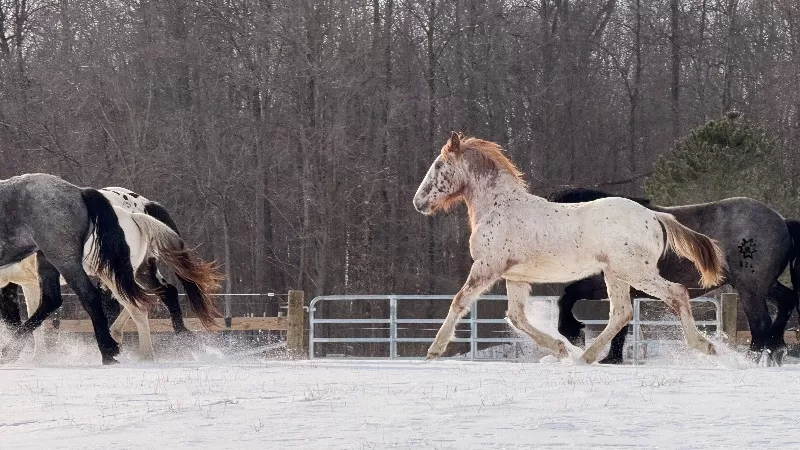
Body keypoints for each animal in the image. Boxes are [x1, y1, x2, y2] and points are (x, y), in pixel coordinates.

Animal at [412, 133, 724, 362]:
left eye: (438, 165)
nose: (419, 202)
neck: (499, 207)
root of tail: (655, 216)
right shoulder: (515, 277)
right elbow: (516, 317)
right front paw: (561, 348)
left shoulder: (487, 268)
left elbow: (459, 301)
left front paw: (434, 350)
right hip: (616, 275)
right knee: (621, 312)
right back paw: (585, 357)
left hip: (635, 272)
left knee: (676, 293)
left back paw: (705, 346)